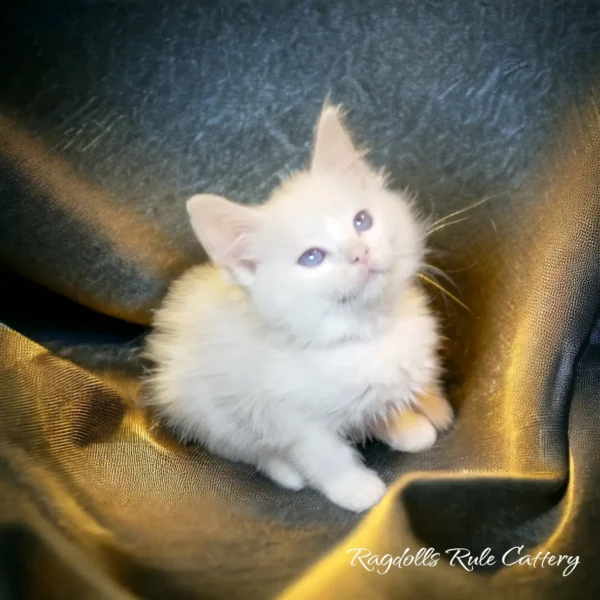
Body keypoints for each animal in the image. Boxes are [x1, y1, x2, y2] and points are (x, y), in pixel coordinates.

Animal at [144, 103, 454, 510]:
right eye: (312, 258)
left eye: (362, 221)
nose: (360, 252)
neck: (364, 334)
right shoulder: (292, 418)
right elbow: (325, 455)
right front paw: (355, 489)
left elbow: (379, 403)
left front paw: (405, 428)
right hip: (206, 409)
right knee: (240, 448)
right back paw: (285, 472)